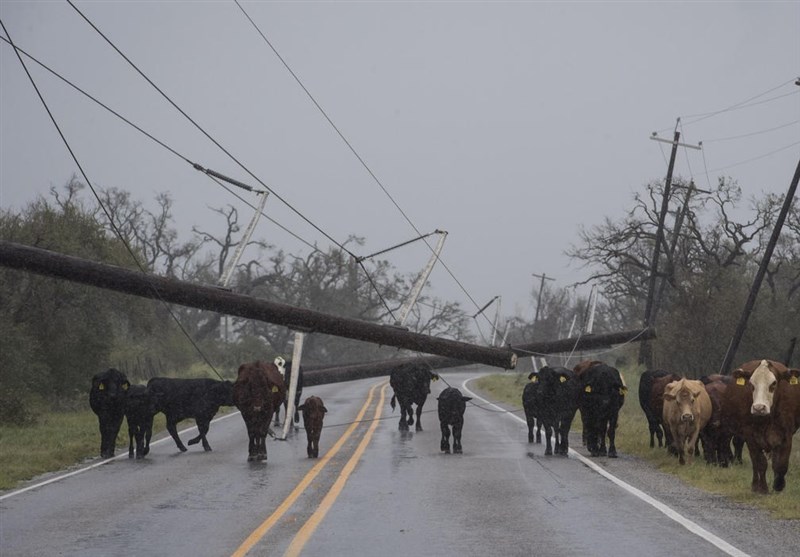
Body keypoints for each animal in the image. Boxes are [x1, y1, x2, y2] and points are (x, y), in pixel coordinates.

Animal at [720, 360, 800, 490]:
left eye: (774, 383)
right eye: (751, 384)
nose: (759, 408)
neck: (767, 419)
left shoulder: (786, 435)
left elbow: (781, 464)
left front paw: (778, 485)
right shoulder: (750, 436)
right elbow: (760, 463)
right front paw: (761, 488)